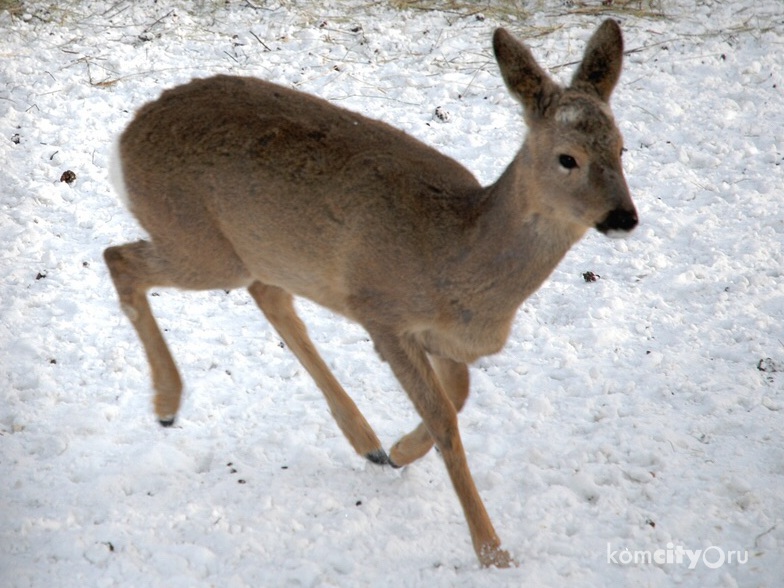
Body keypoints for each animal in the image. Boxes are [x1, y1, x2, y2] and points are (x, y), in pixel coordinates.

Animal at [102, 20, 636, 568]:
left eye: (622, 148)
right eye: (567, 158)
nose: (623, 217)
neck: (456, 253)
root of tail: (124, 141)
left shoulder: (443, 340)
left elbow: (458, 397)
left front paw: (400, 452)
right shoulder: (382, 313)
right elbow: (444, 417)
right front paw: (493, 553)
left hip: (255, 253)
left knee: (267, 295)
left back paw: (369, 444)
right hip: (201, 246)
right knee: (119, 258)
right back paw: (167, 404)